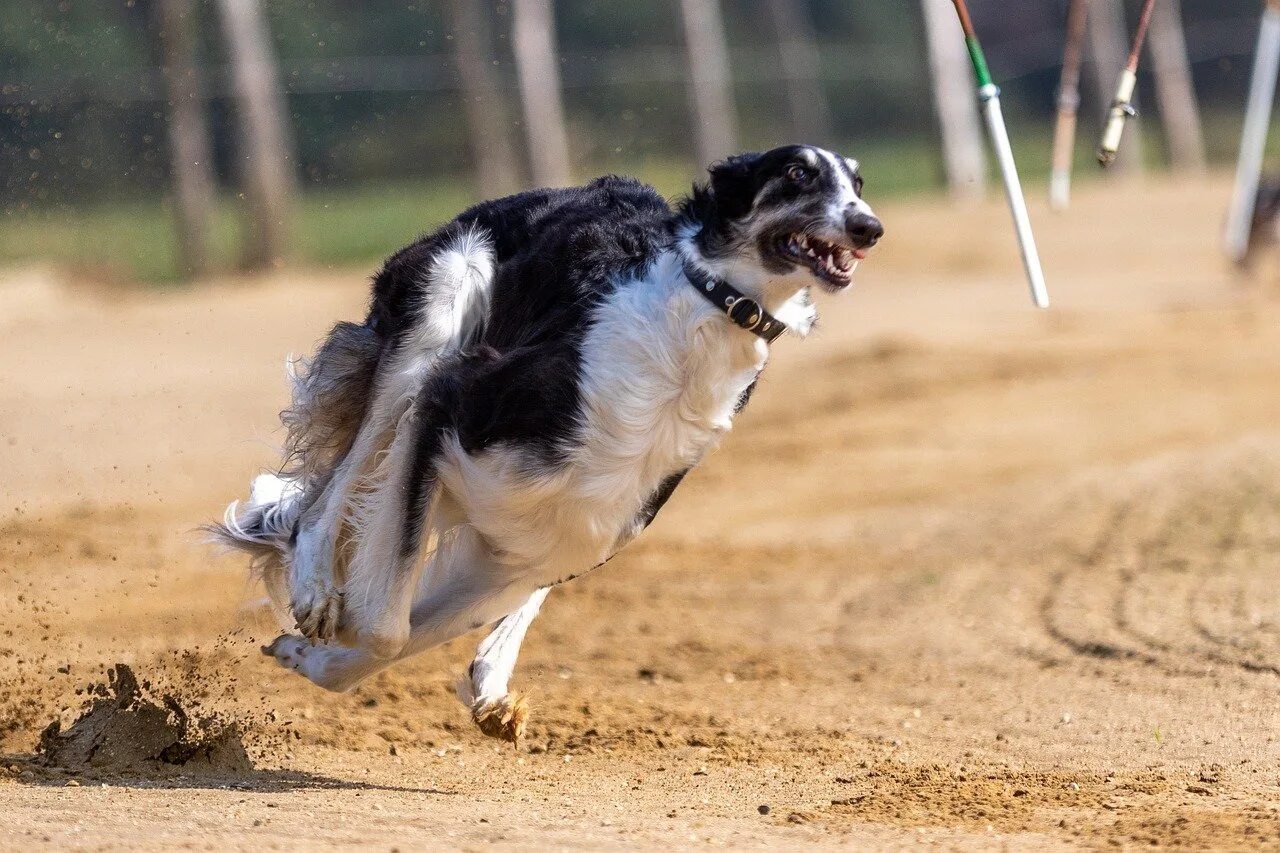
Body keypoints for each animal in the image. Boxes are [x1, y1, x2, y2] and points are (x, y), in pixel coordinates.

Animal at [217, 144, 880, 737]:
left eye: (858, 183)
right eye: (796, 173)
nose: (869, 227)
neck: (696, 326)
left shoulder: (565, 534)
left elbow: (414, 627)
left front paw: (313, 658)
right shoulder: (447, 404)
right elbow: (386, 626)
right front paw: (318, 635)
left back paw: (488, 683)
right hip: (439, 314)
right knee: (331, 495)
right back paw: (316, 588)